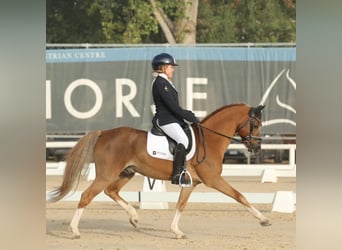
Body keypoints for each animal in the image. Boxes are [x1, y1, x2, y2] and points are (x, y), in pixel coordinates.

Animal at [49, 103, 272, 238]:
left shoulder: (191, 183)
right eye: (255, 124)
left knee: (111, 191)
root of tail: (104, 133)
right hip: (106, 174)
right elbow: (240, 196)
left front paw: (176, 231)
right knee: (87, 196)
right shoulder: (214, 179)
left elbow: (180, 205)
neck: (210, 140)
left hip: (126, 173)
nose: (257, 147)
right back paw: (75, 230)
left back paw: (134, 217)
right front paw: (264, 220)